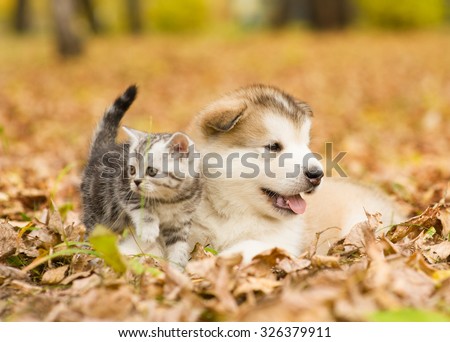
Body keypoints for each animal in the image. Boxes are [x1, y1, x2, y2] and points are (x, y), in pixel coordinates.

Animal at [79, 85, 202, 268]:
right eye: (131, 170)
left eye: (151, 171)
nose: (136, 182)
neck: (170, 199)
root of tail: (100, 151)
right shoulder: (124, 190)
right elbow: (142, 208)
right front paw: (149, 231)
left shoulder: (180, 222)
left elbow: (178, 246)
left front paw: (177, 267)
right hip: (99, 210)